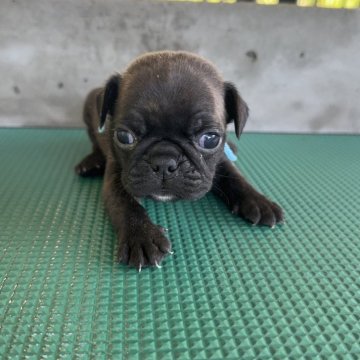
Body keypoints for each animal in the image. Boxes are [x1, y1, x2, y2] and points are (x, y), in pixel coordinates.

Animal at [75, 50, 284, 270]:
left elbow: (235, 177)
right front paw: (141, 236)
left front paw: (259, 201)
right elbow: (124, 202)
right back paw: (92, 162)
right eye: (124, 137)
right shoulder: (116, 176)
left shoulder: (220, 161)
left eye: (210, 139)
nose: (164, 162)